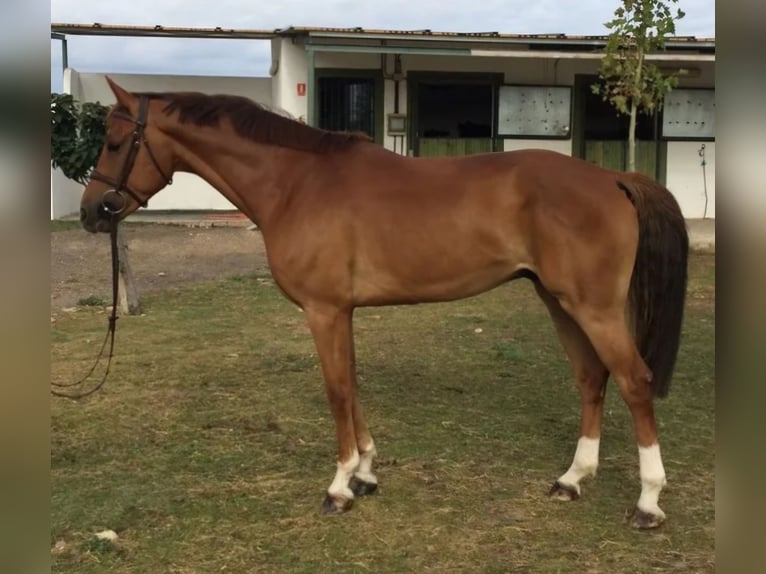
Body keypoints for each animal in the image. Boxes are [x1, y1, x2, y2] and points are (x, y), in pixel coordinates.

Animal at [79, 77, 688, 532]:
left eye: (114, 143)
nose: (91, 213)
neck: (296, 183)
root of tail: (612, 177)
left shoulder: (323, 310)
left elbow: (337, 389)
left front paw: (339, 486)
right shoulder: (341, 312)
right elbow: (352, 383)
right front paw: (367, 473)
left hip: (594, 308)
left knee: (633, 380)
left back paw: (648, 502)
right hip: (559, 300)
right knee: (591, 378)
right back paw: (571, 480)